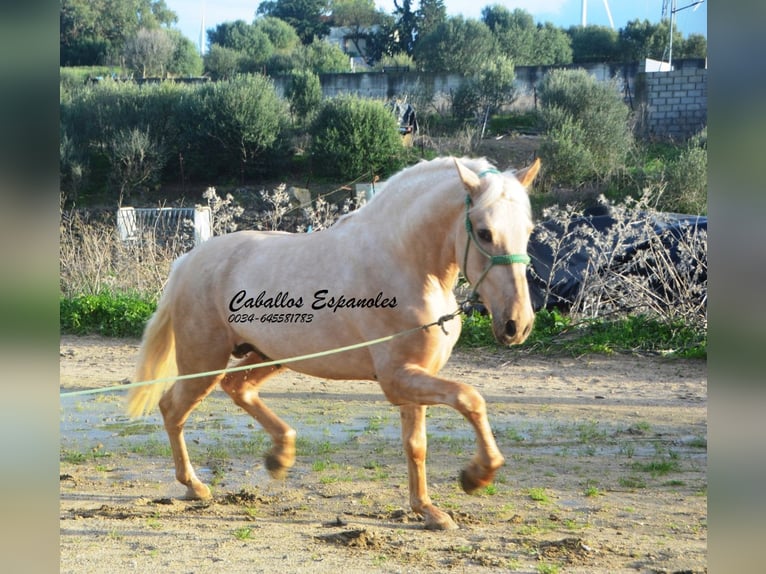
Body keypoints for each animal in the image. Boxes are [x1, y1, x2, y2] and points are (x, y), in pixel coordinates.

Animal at [127, 156, 541, 530]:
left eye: (528, 230)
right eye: (484, 232)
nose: (516, 325)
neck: (406, 266)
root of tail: (188, 261)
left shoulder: (416, 377)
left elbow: (417, 445)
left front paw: (428, 511)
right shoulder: (397, 379)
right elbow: (471, 399)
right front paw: (476, 475)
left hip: (267, 355)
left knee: (236, 388)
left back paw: (280, 456)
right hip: (204, 362)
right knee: (173, 408)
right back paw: (195, 486)